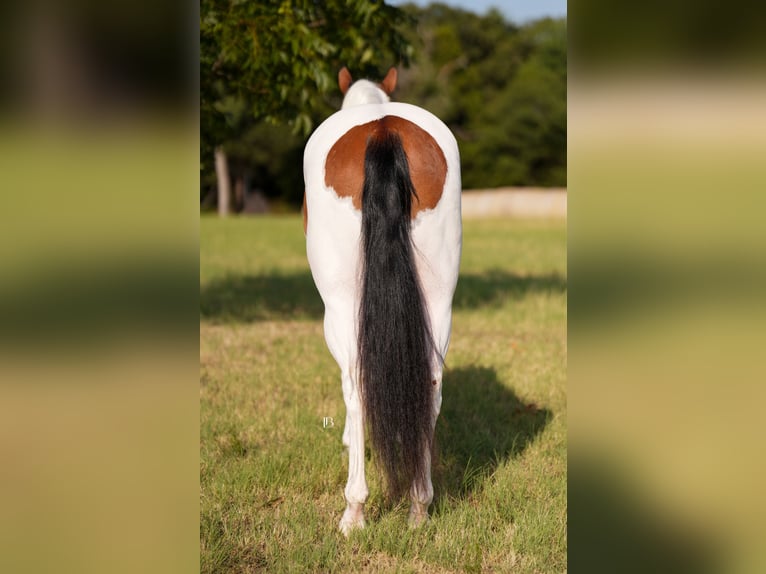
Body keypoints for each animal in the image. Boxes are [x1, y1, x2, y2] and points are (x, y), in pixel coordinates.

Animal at [303, 67, 462, 535]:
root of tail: (382, 128)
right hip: (439, 300)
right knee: (432, 384)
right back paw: (419, 505)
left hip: (339, 307)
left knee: (356, 386)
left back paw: (354, 511)